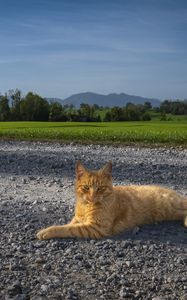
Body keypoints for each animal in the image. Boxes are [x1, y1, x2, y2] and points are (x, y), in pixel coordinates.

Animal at [36, 161, 187, 240]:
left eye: (100, 188)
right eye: (86, 187)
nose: (92, 196)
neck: (85, 206)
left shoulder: (96, 227)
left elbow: (67, 229)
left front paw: (46, 231)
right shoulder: (77, 220)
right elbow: (68, 225)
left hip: (173, 205)